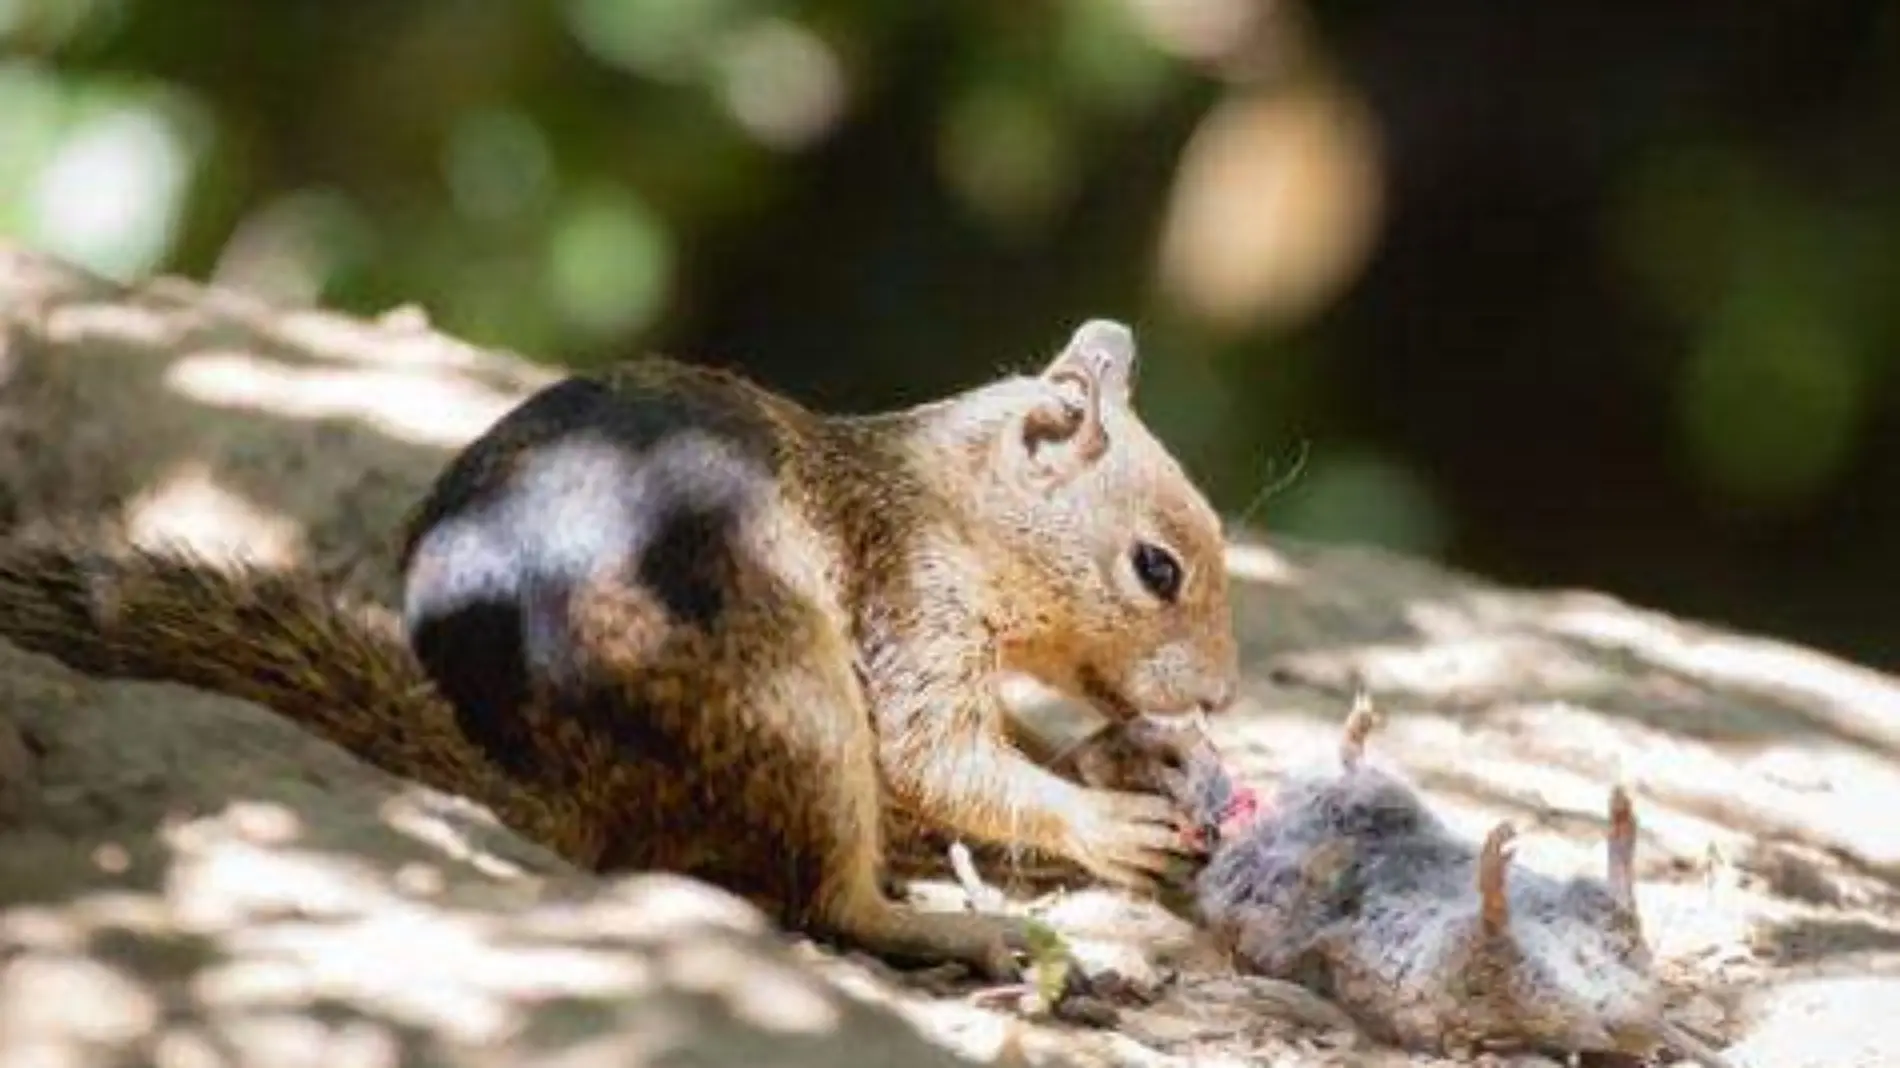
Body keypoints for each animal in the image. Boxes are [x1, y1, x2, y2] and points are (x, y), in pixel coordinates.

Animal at [0, 317, 1238, 980]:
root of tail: (576, 793)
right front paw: (1104, 820)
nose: (1225, 699)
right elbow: (937, 758)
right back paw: (949, 928)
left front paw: (1138, 757)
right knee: (824, 898)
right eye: (1157, 568)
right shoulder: (912, 608)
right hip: (797, 702)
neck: (946, 503)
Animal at [1071, 699, 1740, 1064]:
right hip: (1462, 975)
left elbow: (1362, 772)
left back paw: (1616, 814)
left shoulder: (1371, 795)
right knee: (1494, 941)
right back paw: (1497, 865)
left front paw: (1360, 723)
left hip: (1587, 910)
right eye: (1148, 762)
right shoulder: (1246, 895)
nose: (1139, 724)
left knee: (1617, 902)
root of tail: (1624, 1009)